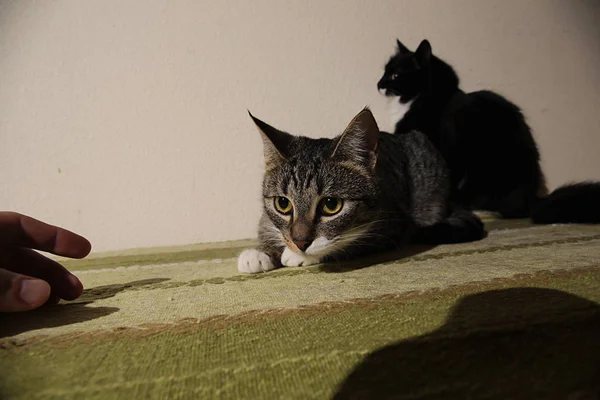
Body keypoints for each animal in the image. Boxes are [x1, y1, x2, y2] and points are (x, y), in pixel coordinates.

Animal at [237, 108, 486, 274]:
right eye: (283, 203)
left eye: (331, 205)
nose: (300, 243)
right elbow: (267, 226)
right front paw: (259, 252)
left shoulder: (393, 226)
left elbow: (351, 242)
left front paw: (302, 256)